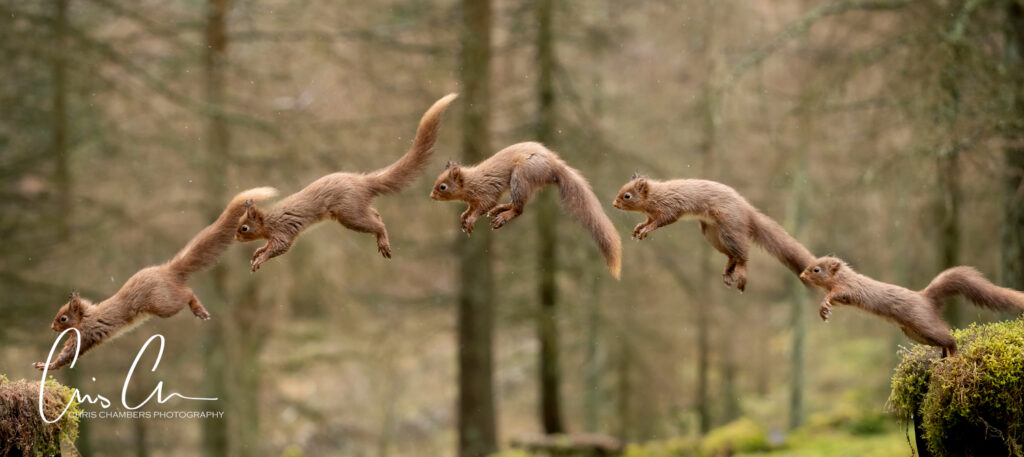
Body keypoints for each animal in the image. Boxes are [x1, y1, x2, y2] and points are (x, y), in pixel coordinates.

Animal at [35, 187, 278, 371]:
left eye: (63, 318)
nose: (51, 327)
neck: (87, 316)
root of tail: (168, 271)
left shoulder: (85, 333)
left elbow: (70, 353)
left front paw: (47, 366)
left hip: (164, 304)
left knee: (187, 293)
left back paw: (198, 308)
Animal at [236, 93, 457, 271]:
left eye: (244, 228)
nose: (236, 237)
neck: (269, 221)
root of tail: (362, 182)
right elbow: (268, 246)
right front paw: (258, 251)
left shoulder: (282, 232)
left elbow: (279, 247)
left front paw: (260, 258)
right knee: (375, 213)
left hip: (349, 213)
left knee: (377, 224)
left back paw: (382, 239)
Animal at [429, 142, 623, 278]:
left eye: (443, 186)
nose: (431, 195)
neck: (471, 182)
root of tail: (554, 165)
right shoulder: (473, 200)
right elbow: (472, 208)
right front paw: (464, 217)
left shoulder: (487, 192)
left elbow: (484, 205)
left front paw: (470, 220)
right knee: (515, 205)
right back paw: (501, 209)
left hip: (521, 177)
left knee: (519, 209)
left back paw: (503, 215)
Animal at [612, 174, 814, 291]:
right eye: (620, 190)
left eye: (627, 195)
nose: (614, 204)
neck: (656, 196)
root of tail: (747, 211)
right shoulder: (652, 214)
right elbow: (648, 220)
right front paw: (639, 227)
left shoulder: (671, 207)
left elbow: (662, 220)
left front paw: (647, 229)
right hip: (711, 234)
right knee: (732, 256)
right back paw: (727, 272)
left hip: (729, 231)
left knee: (743, 254)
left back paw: (741, 272)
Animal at [800, 254, 1024, 357]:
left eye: (816, 269)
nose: (802, 275)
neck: (845, 278)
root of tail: (925, 297)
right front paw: (825, 309)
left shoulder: (850, 289)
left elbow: (837, 293)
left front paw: (824, 304)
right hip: (915, 333)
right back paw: (944, 356)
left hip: (924, 325)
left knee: (949, 336)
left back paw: (952, 353)